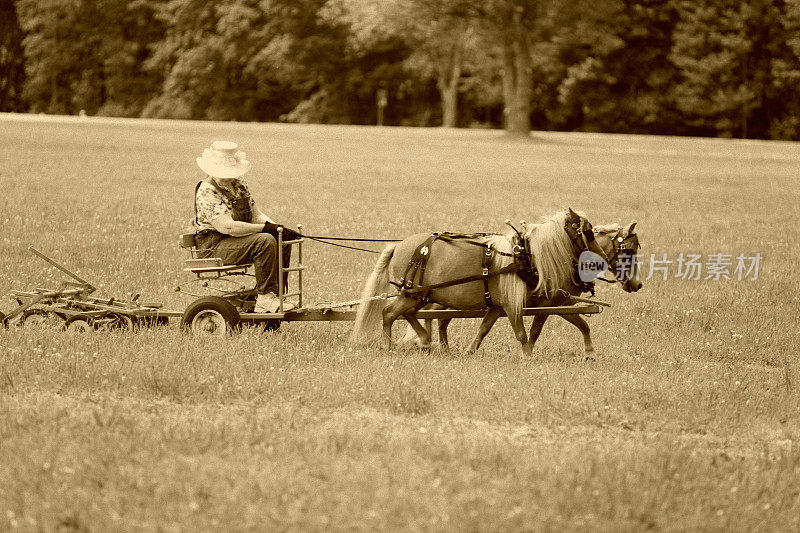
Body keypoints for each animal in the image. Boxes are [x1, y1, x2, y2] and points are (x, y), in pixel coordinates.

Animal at [350, 209, 608, 358]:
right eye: (588, 233)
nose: (603, 259)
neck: (525, 255)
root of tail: (398, 246)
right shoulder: (513, 305)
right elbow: (522, 334)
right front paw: (527, 357)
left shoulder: (498, 307)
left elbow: (484, 328)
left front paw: (470, 351)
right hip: (411, 294)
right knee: (388, 313)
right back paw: (388, 345)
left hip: (418, 294)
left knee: (407, 314)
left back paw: (424, 340)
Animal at [400, 218, 644, 360]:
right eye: (629, 251)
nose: (637, 284)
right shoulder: (554, 303)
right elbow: (554, 328)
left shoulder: (511, 305)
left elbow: (484, 328)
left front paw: (470, 351)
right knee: (436, 317)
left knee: (440, 319)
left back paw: (439, 346)